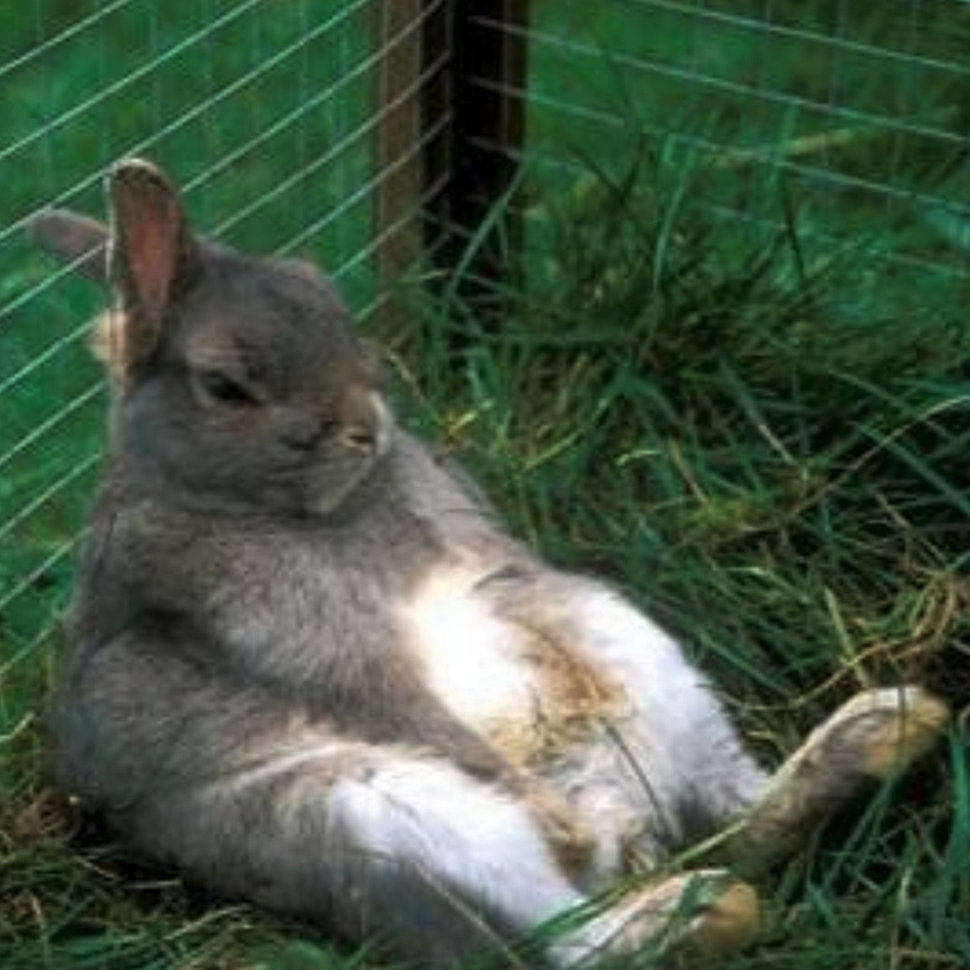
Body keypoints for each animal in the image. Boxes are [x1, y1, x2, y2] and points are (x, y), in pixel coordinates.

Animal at [31, 158, 949, 968]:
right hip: (388, 821)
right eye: (226, 386)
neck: (266, 507)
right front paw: (557, 819)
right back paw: (684, 895)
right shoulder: (322, 658)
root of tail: (634, 824)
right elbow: (403, 705)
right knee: (580, 935)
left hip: (627, 646)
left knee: (741, 819)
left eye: (332, 305)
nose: (367, 427)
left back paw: (890, 730)